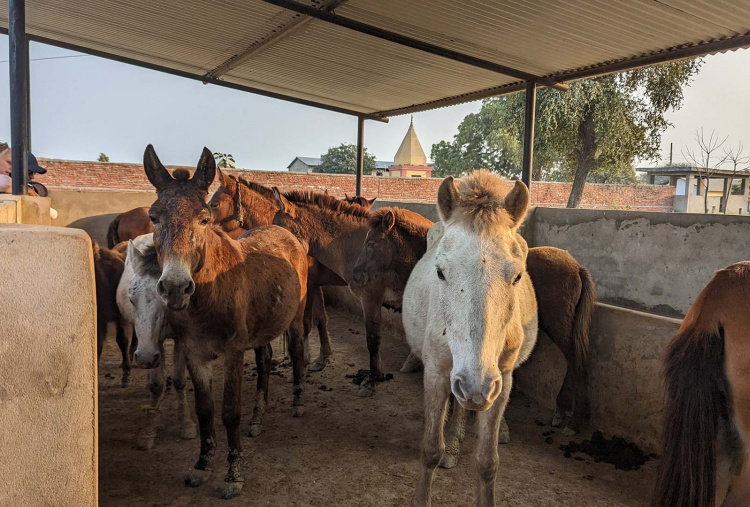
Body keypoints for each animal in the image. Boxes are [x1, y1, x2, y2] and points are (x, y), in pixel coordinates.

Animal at [115, 235, 195, 452]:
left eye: (165, 300)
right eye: (131, 299)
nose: (144, 358)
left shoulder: (180, 339)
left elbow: (179, 380)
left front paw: (186, 424)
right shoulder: (150, 344)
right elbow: (157, 385)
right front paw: (148, 432)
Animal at [142, 146, 310, 500]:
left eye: (204, 218)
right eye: (153, 217)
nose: (175, 287)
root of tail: (284, 232)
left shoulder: (233, 352)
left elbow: (230, 411)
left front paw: (233, 475)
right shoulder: (194, 352)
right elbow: (205, 410)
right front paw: (202, 465)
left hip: (296, 318)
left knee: (298, 353)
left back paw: (298, 402)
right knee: (265, 361)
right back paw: (258, 417)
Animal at [206, 173, 346, 372]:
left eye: (215, 204)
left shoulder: (309, 284)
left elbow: (307, 321)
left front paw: (304, 358)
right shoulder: (315, 284)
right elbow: (321, 319)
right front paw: (322, 357)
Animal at [406, 173, 540, 506]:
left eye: (517, 276)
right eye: (440, 272)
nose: (475, 385)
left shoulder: (499, 379)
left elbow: (487, 462)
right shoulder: (437, 374)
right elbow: (430, 450)